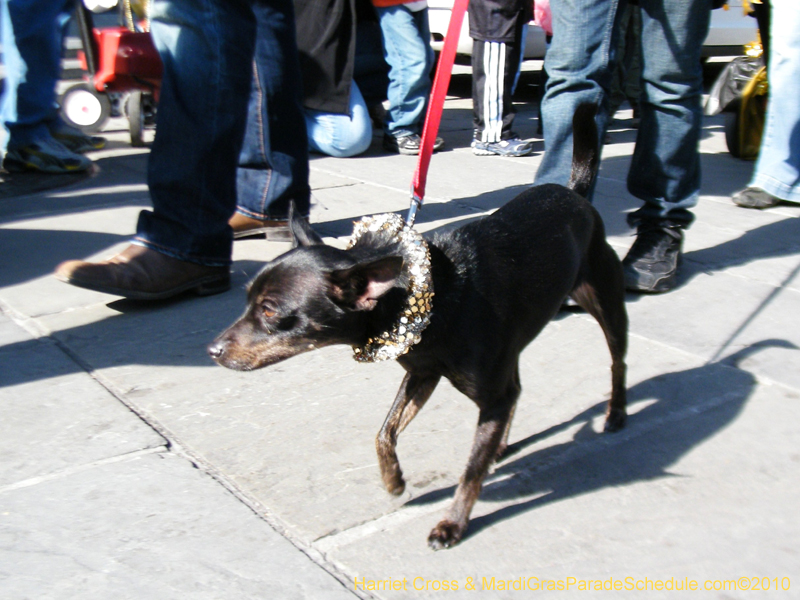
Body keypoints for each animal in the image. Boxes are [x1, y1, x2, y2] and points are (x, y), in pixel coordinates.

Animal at [209, 103, 628, 548]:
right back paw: (501, 443)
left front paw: (453, 524)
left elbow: (470, 471)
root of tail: (576, 193)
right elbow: (385, 432)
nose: (212, 350)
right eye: (249, 301)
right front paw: (393, 479)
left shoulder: (471, 390)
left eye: (271, 311)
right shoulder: (423, 374)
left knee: (616, 362)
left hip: (605, 302)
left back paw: (616, 413)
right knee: (516, 388)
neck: (435, 297)